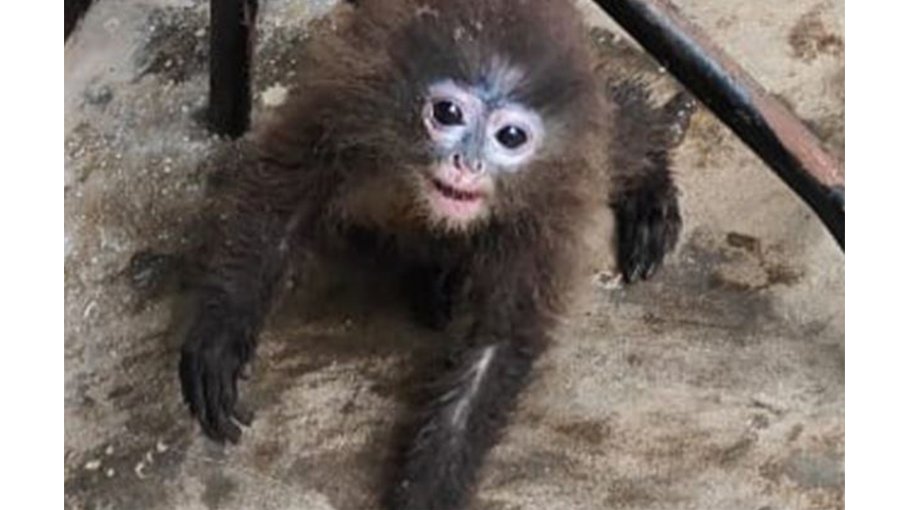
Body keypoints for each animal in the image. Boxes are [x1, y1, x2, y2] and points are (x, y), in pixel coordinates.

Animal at [179, 1, 688, 509]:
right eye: (447, 112)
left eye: (510, 137)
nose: (468, 164)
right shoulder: (349, 100)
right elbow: (279, 207)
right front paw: (222, 335)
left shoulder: (553, 195)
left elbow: (498, 343)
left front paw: (426, 490)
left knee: (621, 137)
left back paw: (650, 179)